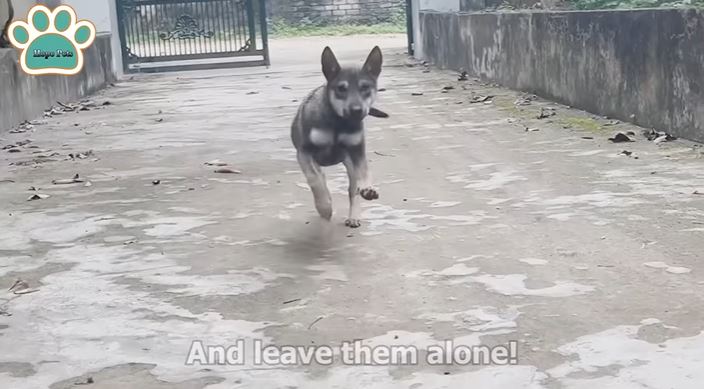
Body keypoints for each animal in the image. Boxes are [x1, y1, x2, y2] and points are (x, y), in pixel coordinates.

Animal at [292, 45, 388, 227]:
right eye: (341, 88)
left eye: (365, 88)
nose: (357, 110)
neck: (338, 122)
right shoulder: (304, 152)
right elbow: (315, 180)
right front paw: (324, 207)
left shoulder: (357, 151)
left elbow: (365, 170)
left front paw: (369, 189)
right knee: (320, 177)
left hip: (349, 165)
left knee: (353, 190)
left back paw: (354, 216)